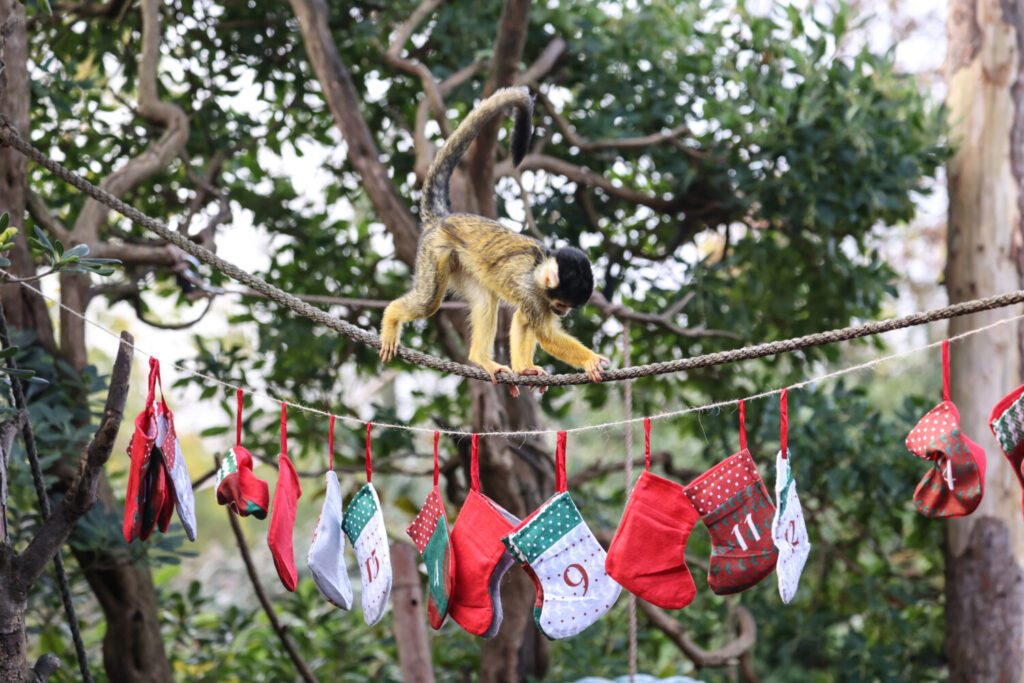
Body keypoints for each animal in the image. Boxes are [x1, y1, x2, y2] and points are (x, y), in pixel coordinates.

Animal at [378, 86, 609, 387]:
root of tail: (442, 218)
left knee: (485, 301)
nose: (564, 313)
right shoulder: (531, 292)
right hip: (435, 251)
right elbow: (545, 333)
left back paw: (481, 359)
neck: (539, 270)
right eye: (562, 304)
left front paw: (525, 369)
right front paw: (590, 360)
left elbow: (522, 320)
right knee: (428, 301)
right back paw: (392, 316)